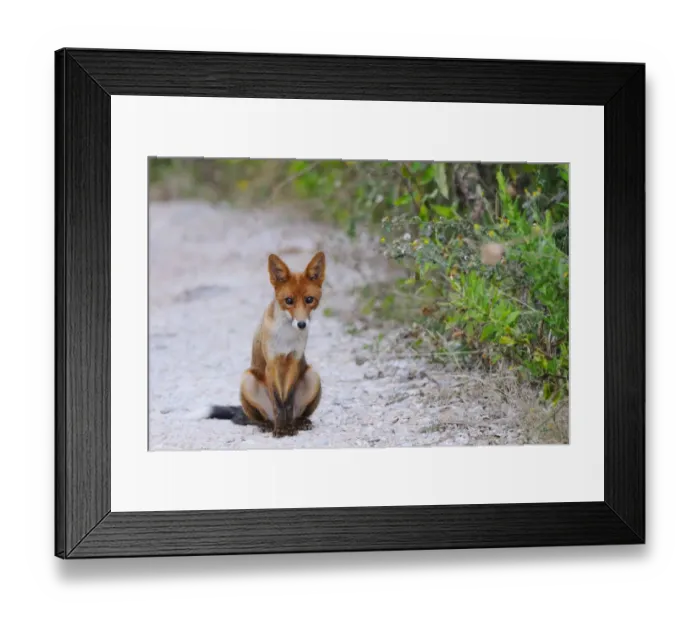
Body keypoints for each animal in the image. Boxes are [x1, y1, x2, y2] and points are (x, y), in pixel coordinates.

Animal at [207, 251, 325, 437]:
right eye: (289, 300)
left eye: (309, 299)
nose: (301, 324)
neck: (286, 338)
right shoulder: (271, 364)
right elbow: (278, 404)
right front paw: (281, 429)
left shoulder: (294, 361)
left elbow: (287, 402)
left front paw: (288, 428)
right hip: (247, 379)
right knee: (258, 419)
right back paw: (268, 425)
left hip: (313, 375)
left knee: (297, 414)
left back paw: (299, 423)